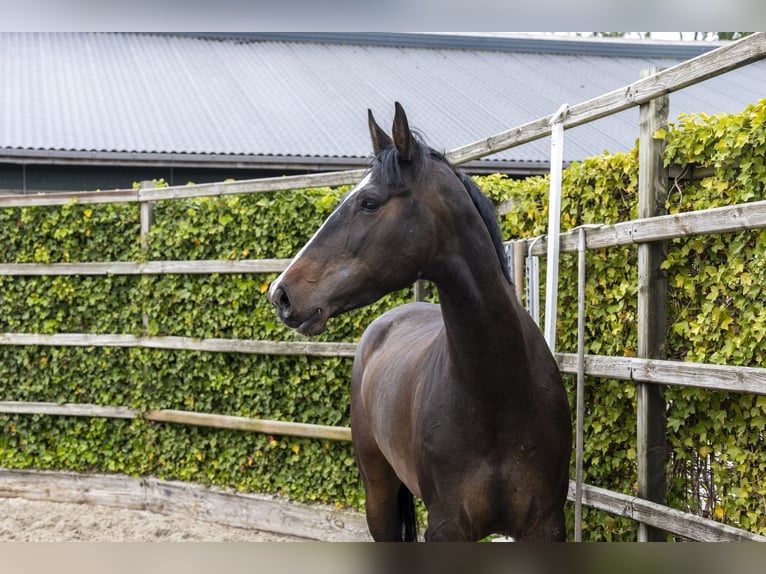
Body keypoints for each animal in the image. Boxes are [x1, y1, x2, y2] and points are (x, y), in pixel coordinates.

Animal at [269, 103, 572, 541]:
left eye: (369, 203)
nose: (281, 293)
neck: (500, 391)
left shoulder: (546, 527)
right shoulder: (446, 528)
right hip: (377, 495)